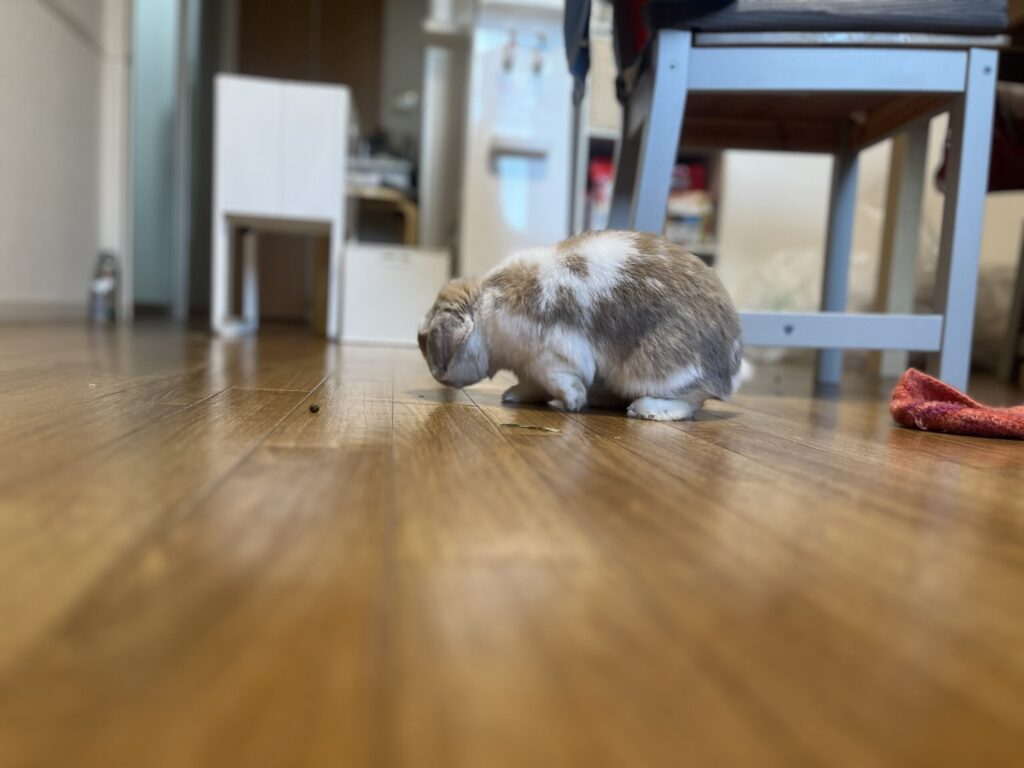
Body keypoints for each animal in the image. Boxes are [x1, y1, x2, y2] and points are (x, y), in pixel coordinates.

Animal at [417, 230, 746, 421]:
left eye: (424, 341)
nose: (437, 377)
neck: (484, 310)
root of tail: (730, 369)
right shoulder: (531, 367)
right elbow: (531, 386)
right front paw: (513, 396)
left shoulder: (552, 358)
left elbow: (561, 382)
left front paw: (572, 403)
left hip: (657, 368)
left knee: (692, 401)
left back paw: (646, 409)